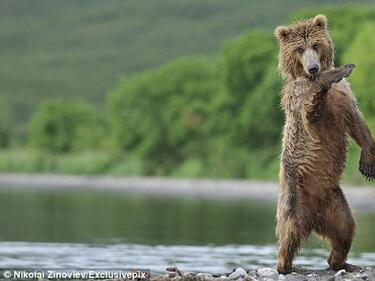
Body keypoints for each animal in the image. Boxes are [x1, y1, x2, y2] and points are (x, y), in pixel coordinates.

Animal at [274, 14, 375, 272]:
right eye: (299, 49)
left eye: (316, 45)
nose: (313, 67)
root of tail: (313, 218)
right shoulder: (299, 99)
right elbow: (312, 110)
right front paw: (338, 72)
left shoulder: (344, 99)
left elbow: (357, 123)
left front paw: (368, 164)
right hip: (294, 194)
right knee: (289, 231)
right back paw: (286, 265)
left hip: (335, 202)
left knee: (345, 229)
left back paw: (342, 262)